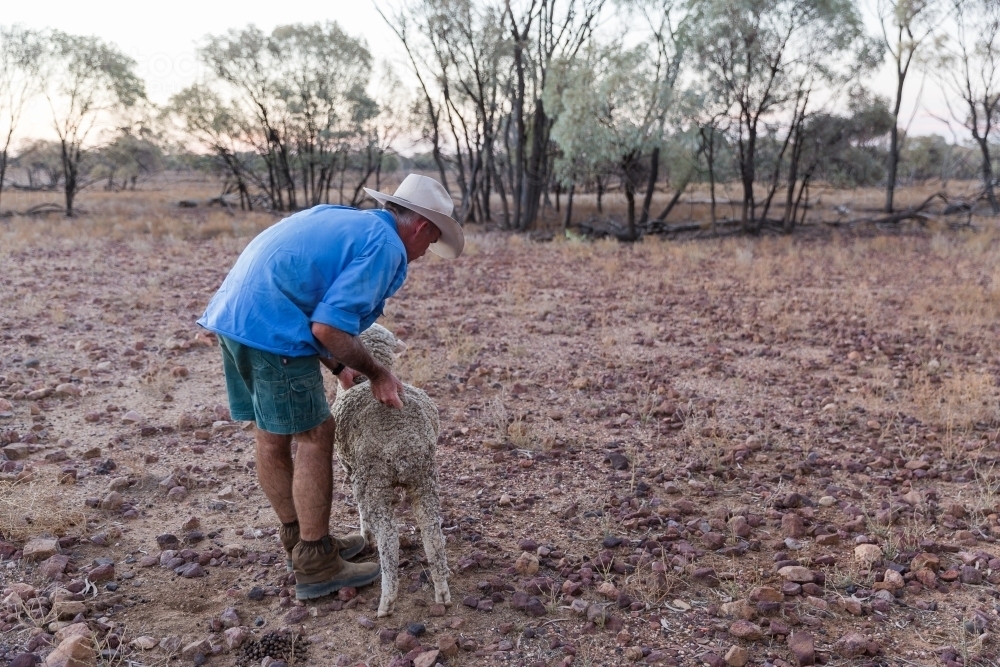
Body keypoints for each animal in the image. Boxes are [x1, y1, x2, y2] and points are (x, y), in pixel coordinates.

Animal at [330, 326, 452, 620]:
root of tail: (403, 443)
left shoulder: (352, 471)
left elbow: (361, 510)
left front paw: (365, 536)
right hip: (424, 479)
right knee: (432, 534)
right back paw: (442, 591)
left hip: (375, 481)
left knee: (390, 540)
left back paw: (387, 600)